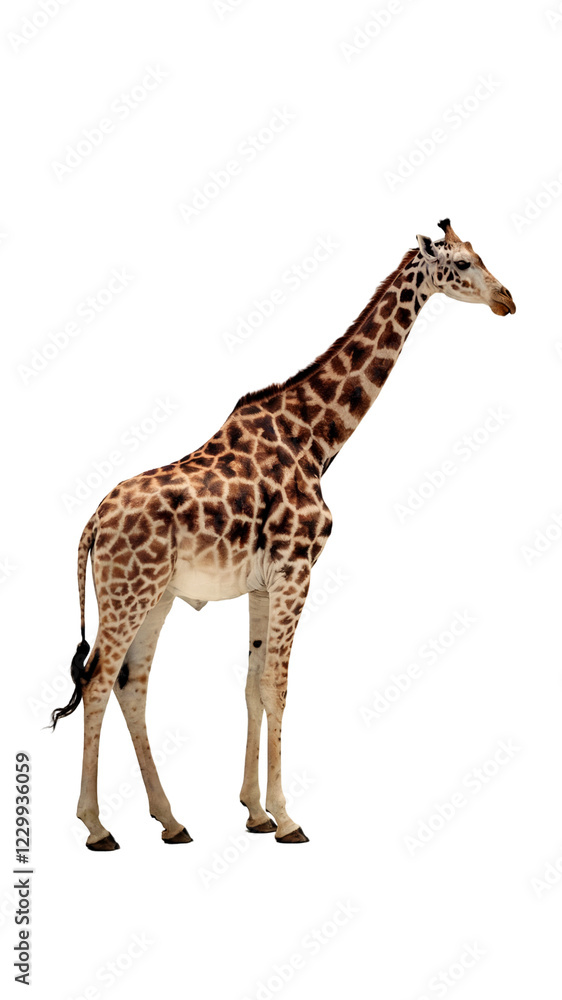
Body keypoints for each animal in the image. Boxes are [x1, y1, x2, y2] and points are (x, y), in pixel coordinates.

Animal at [51, 219, 515, 850]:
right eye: (464, 263)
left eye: (479, 255)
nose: (507, 300)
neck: (316, 438)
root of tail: (92, 523)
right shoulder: (297, 571)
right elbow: (278, 684)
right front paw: (288, 817)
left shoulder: (263, 583)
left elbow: (252, 684)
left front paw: (254, 811)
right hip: (128, 591)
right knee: (99, 677)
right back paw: (97, 826)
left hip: (155, 595)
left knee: (131, 682)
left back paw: (171, 820)